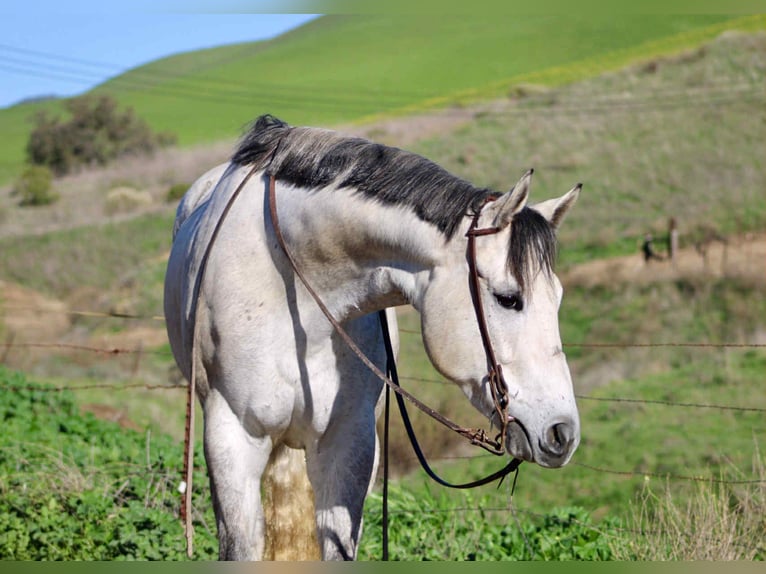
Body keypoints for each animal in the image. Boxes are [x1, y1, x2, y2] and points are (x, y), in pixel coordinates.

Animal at [164, 114, 581, 560]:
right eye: (508, 298)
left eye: (558, 298)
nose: (563, 433)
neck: (290, 283)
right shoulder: (232, 439)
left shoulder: (349, 442)